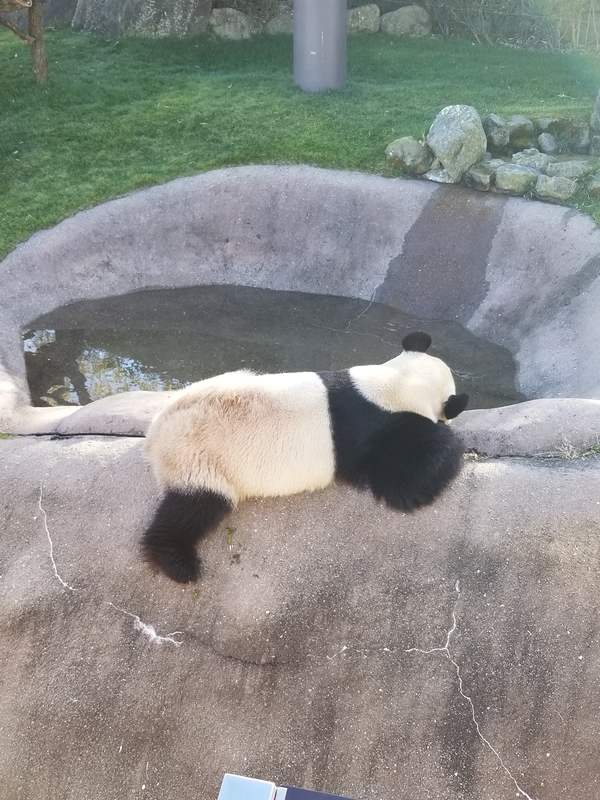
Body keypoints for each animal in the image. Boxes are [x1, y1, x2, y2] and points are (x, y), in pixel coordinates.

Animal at [142, 331, 469, 583]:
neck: (394, 382)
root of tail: (156, 432)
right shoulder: (373, 431)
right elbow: (409, 480)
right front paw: (452, 443)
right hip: (198, 457)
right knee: (195, 508)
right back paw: (179, 564)